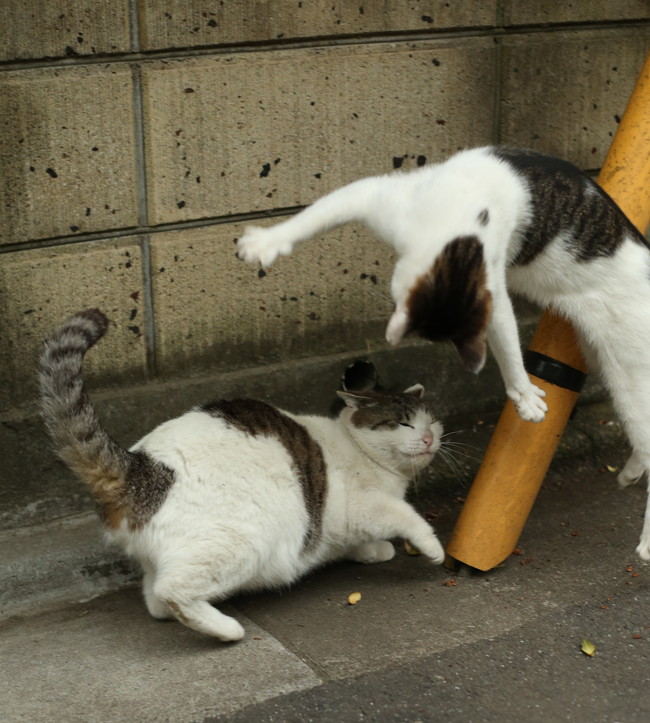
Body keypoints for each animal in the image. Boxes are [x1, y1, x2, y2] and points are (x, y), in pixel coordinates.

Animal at [39, 308, 446, 640]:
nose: (429, 437)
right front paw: (432, 548)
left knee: (154, 596)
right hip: (243, 542)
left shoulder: (341, 527)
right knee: (173, 590)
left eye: (433, 421)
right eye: (403, 423)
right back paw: (226, 630)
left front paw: (373, 551)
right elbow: (406, 518)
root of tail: (142, 468)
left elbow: (354, 543)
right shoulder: (366, 507)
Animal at [235, 143, 648, 560]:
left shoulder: (489, 280)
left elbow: (507, 341)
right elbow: (318, 212)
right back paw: (629, 475)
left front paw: (523, 394)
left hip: (631, 375)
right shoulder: (379, 199)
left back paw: (644, 536)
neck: (453, 219)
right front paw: (265, 243)